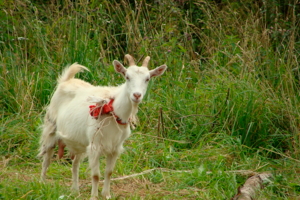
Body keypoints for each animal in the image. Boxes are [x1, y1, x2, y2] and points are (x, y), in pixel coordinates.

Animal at [38, 54, 166, 199]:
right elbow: (95, 175)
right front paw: (94, 196)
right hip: (51, 127)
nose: (137, 95)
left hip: (79, 141)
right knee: (47, 158)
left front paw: (107, 195)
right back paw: (42, 183)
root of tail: (66, 81)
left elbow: (109, 172)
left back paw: (75, 190)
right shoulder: (95, 146)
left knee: (75, 164)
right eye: (127, 77)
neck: (114, 110)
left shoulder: (115, 148)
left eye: (147, 79)